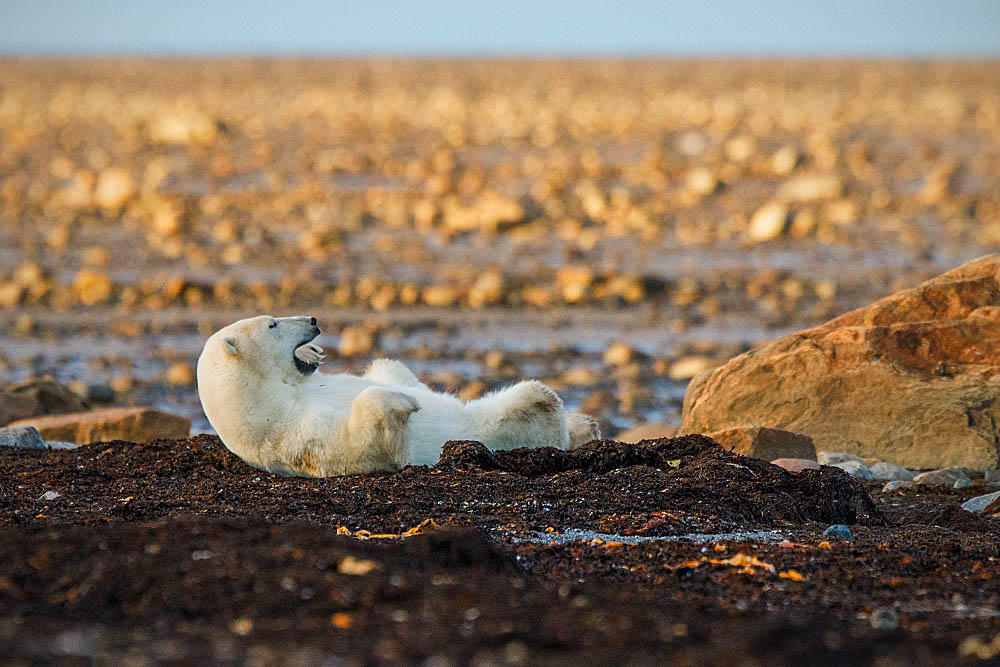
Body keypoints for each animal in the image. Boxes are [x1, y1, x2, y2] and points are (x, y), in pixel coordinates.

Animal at [197, 316, 600, 478]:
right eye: (272, 324)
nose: (312, 320)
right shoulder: (294, 435)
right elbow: (367, 444)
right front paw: (406, 403)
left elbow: (388, 369)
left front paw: (314, 353)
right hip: (503, 423)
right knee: (536, 398)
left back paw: (585, 424)